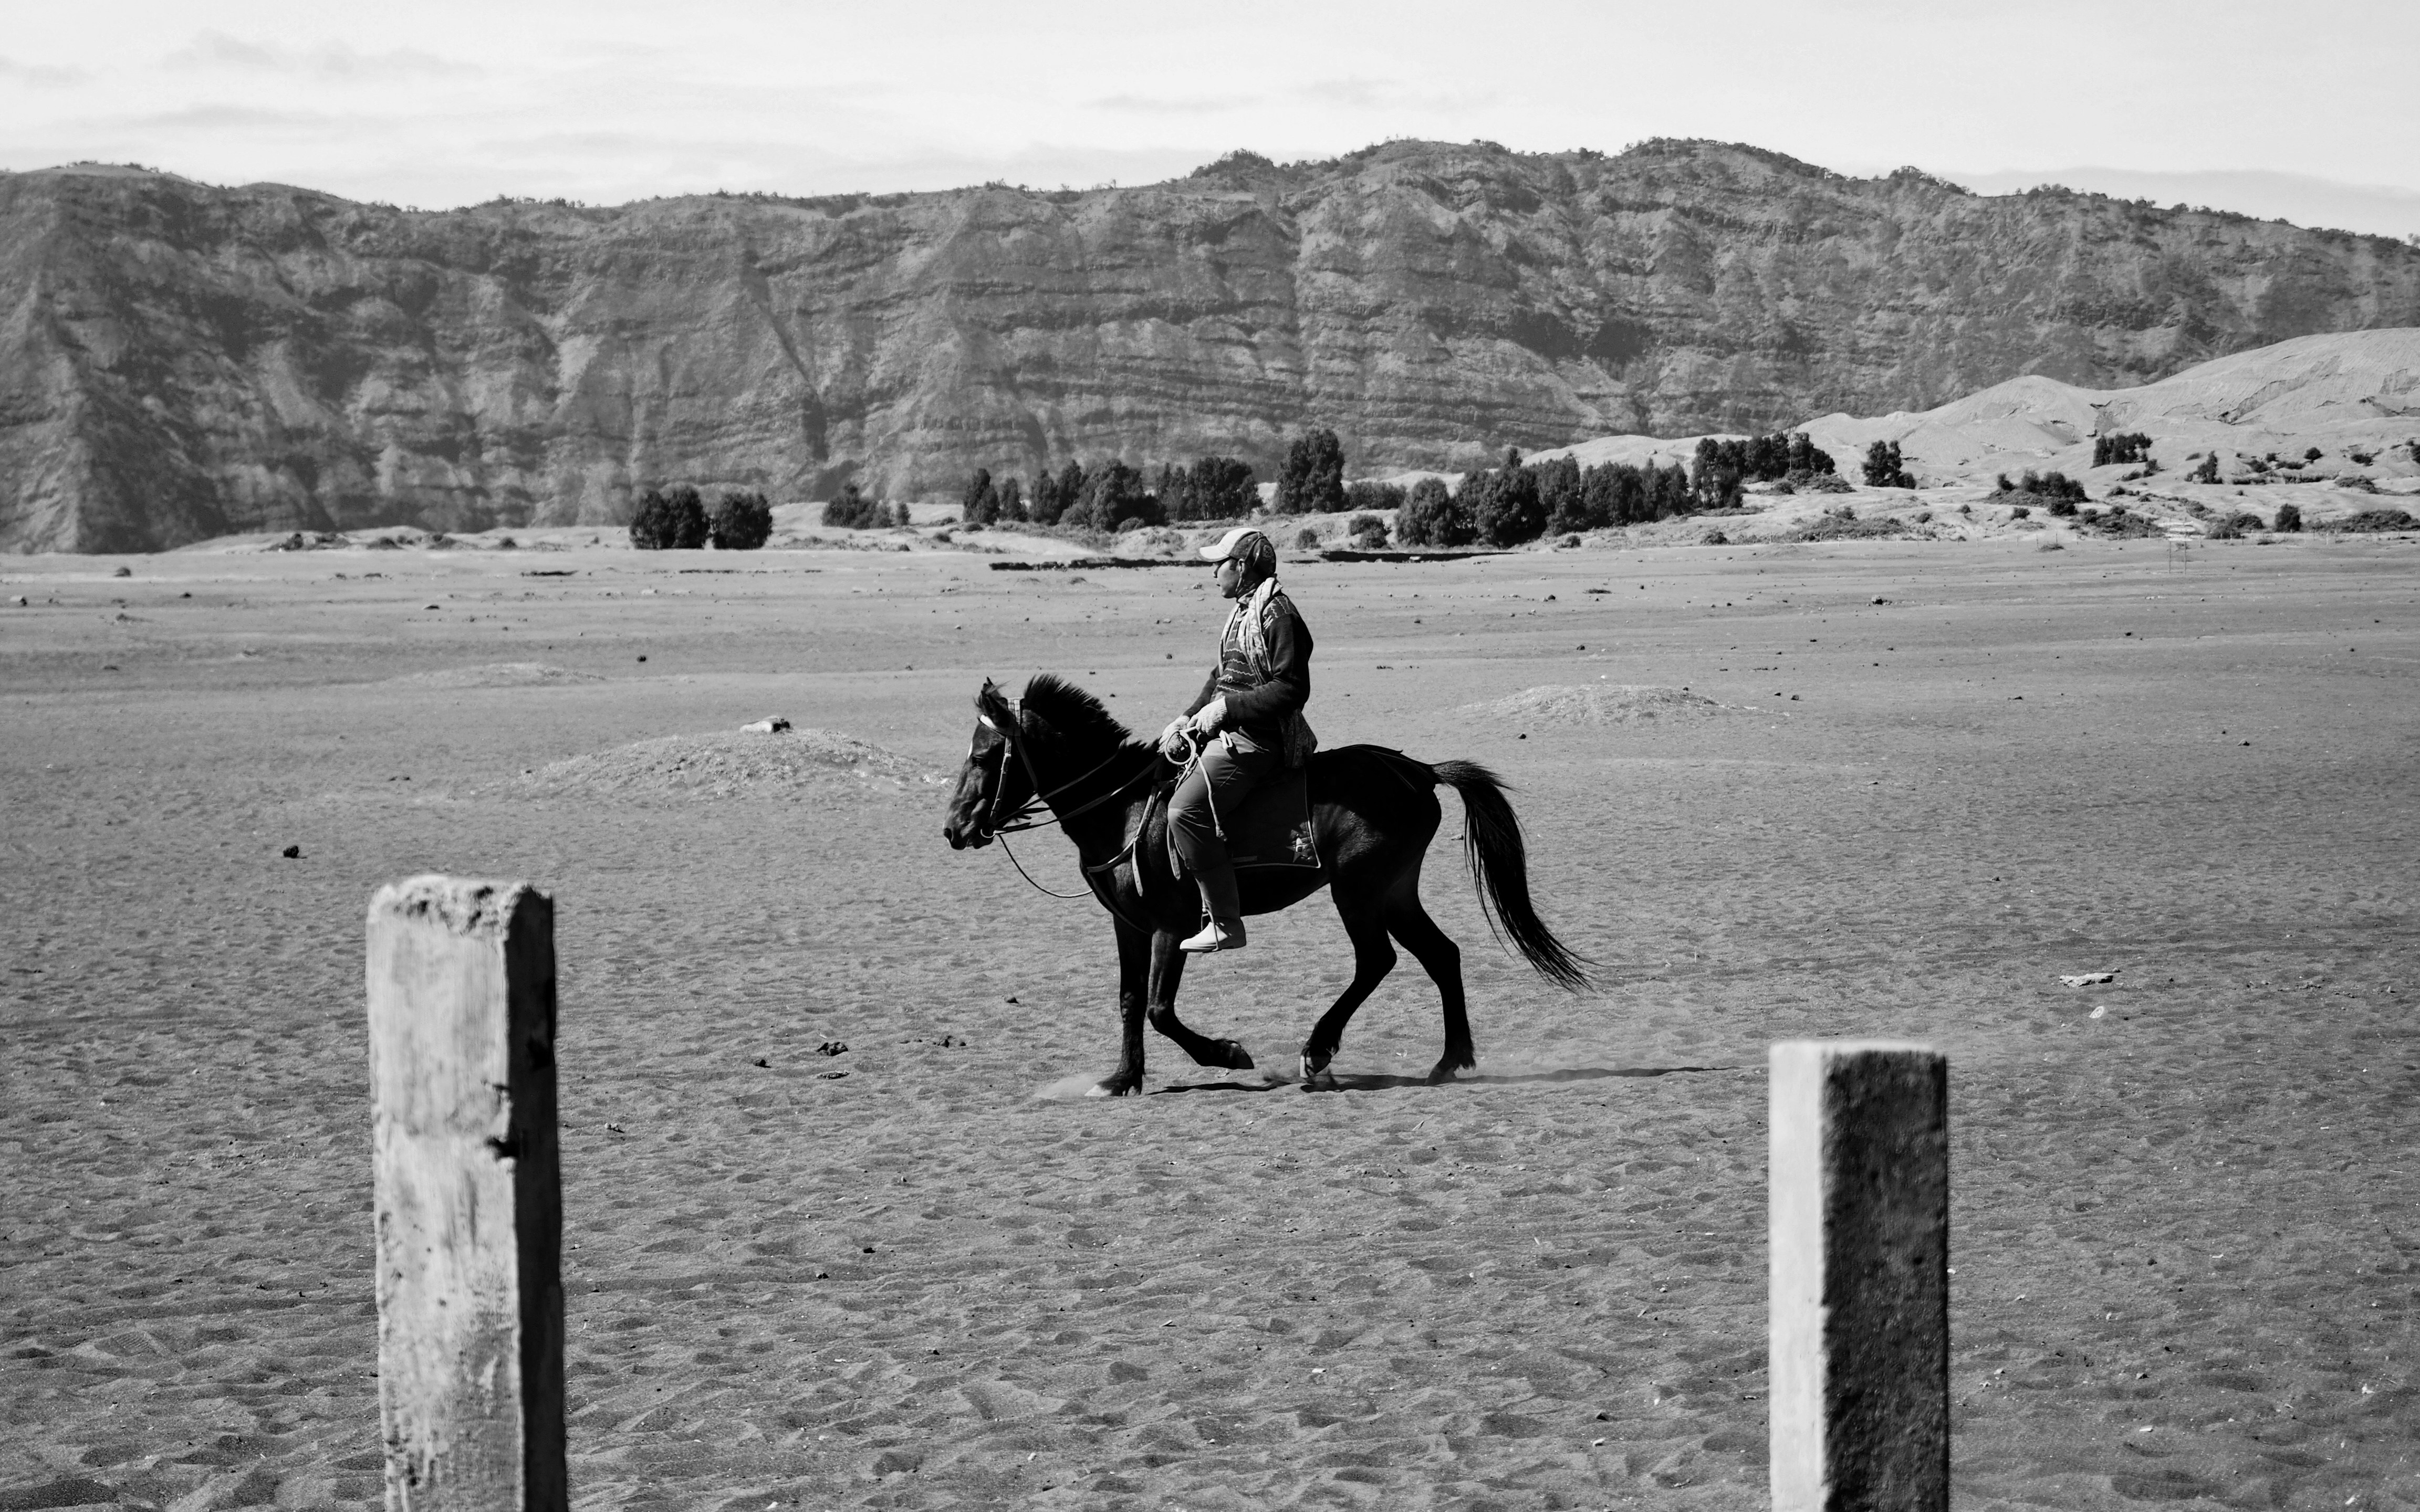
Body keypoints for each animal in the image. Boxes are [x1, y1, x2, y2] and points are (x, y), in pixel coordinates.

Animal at [940, 674, 1589, 1096]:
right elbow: (1128, 1001)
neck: (1123, 810)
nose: (953, 829)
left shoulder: (1173, 926)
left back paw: (1318, 1051)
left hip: (1358, 890)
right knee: (1442, 955)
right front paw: (1123, 1078)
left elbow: (1158, 1008)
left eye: (984, 755)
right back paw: (1450, 1060)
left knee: (1377, 961)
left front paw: (1227, 1054)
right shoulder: (1129, 925)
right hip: (1395, 891)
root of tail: (1418, 771)